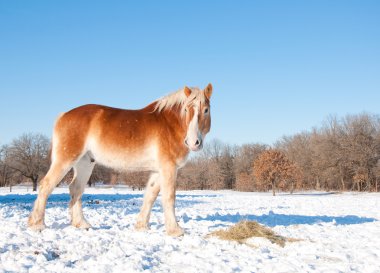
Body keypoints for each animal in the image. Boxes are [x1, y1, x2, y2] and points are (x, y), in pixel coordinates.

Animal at [29, 83, 214, 236]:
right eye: (186, 110)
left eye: (205, 110)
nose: (193, 142)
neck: (170, 124)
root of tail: (64, 115)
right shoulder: (168, 168)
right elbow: (169, 197)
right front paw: (175, 230)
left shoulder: (157, 170)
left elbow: (150, 196)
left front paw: (142, 226)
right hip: (65, 160)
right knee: (46, 185)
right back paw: (37, 224)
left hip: (84, 163)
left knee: (76, 189)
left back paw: (81, 224)